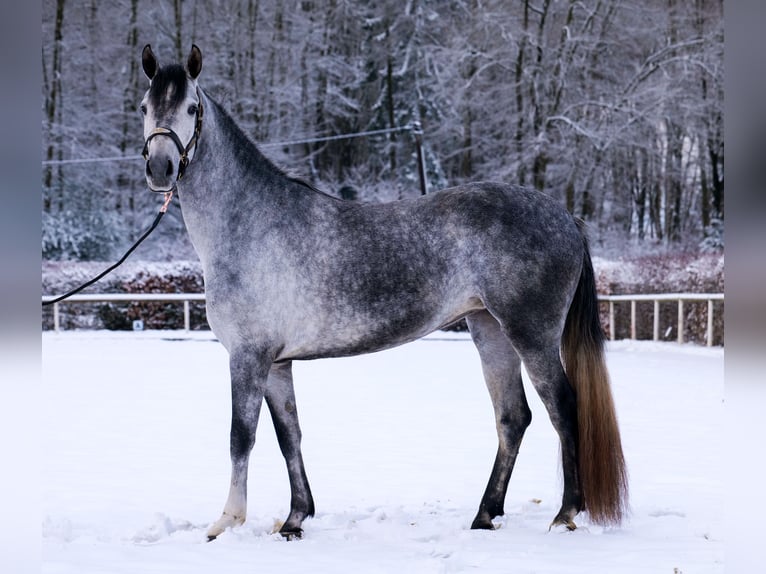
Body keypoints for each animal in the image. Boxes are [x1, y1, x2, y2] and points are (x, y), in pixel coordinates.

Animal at [140, 46, 632, 544]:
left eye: (192, 108)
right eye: (144, 107)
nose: (160, 168)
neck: (250, 223)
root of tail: (566, 217)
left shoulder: (248, 356)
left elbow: (242, 436)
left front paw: (227, 521)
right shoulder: (277, 362)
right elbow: (288, 435)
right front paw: (296, 519)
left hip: (531, 335)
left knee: (563, 408)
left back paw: (565, 513)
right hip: (490, 330)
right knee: (513, 417)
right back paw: (485, 515)